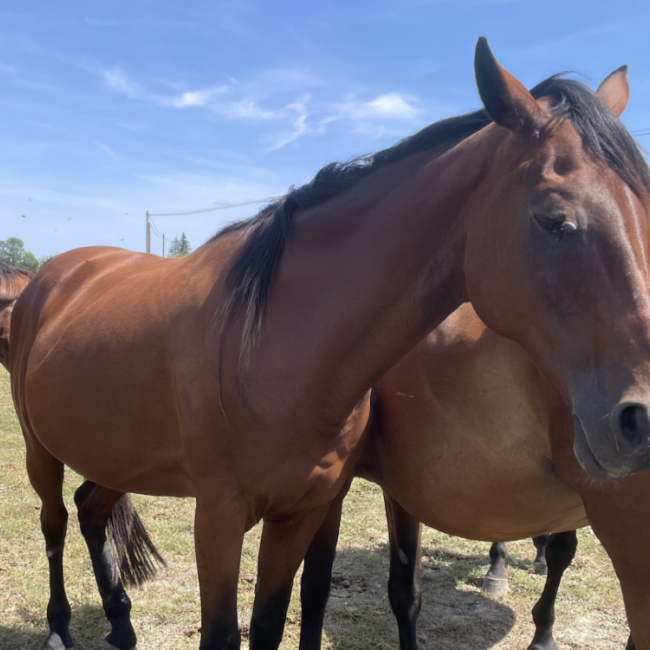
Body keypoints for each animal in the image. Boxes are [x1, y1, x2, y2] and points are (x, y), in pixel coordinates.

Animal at [9, 38, 650, 650]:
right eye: (554, 219)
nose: (638, 420)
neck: (272, 351)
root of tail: (59, 273)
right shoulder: (218, 518)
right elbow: (226, 633)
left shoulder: (302, 510)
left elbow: (273, 622)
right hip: (42, 448)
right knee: (53, 523)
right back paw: (60, 627)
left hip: (113, 448)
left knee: (91, 510)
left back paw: (120, 624)